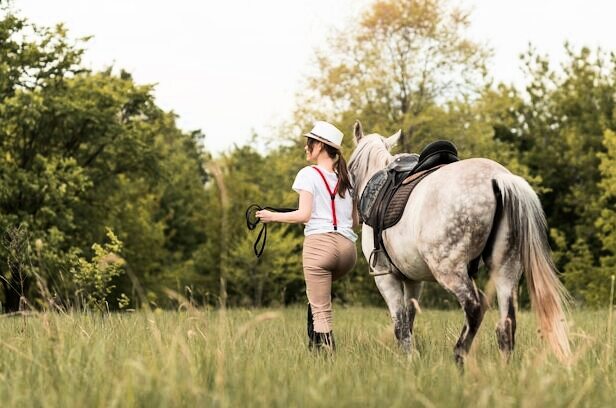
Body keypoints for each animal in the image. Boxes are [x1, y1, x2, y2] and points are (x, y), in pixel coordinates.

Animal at [348, 121, 572, 364]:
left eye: (349, 167)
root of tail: (498, 178)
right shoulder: (413, 280)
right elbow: (409, 319)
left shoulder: (385, 277)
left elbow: (400, 325)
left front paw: (408, 360)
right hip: (506, 268)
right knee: (507, 324)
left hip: (450, 270)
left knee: (475, 307)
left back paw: (459, 355)